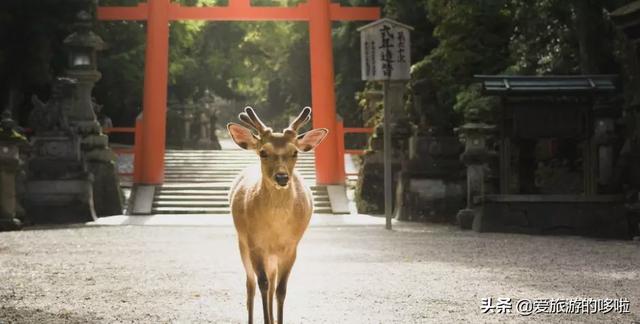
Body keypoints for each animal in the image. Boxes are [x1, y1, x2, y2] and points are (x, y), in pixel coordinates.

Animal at [228, 107, 328, 324]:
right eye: (263, 152)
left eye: (295, 152)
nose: (282, 177)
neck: (276, 227)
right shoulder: (255, 244)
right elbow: (262, 284)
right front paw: (266, 320)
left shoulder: (291, 247)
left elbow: (281, 290)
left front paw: (277, 320)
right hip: (242, 243)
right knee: (250, 285)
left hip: (273, 255)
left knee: (273, 282)